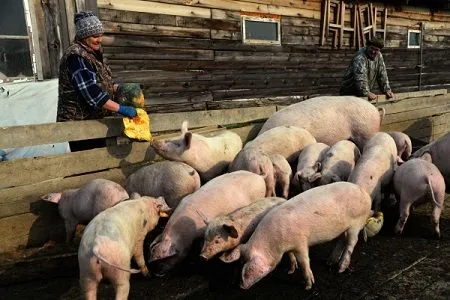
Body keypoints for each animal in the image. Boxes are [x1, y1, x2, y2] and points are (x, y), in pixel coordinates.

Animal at [222, 182, 372, 290]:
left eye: (246, 267)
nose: (240, 287)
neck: (275, 242)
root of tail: (365, 193)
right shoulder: (289, 246)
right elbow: (291, 256)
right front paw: (291, 271)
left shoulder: (300, 243)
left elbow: (304, 261)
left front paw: (308, 286)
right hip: (343, 227)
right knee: (342, 239)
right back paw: (329, 262)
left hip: (356, 222)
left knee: (351, 243)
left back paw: (340, 269)